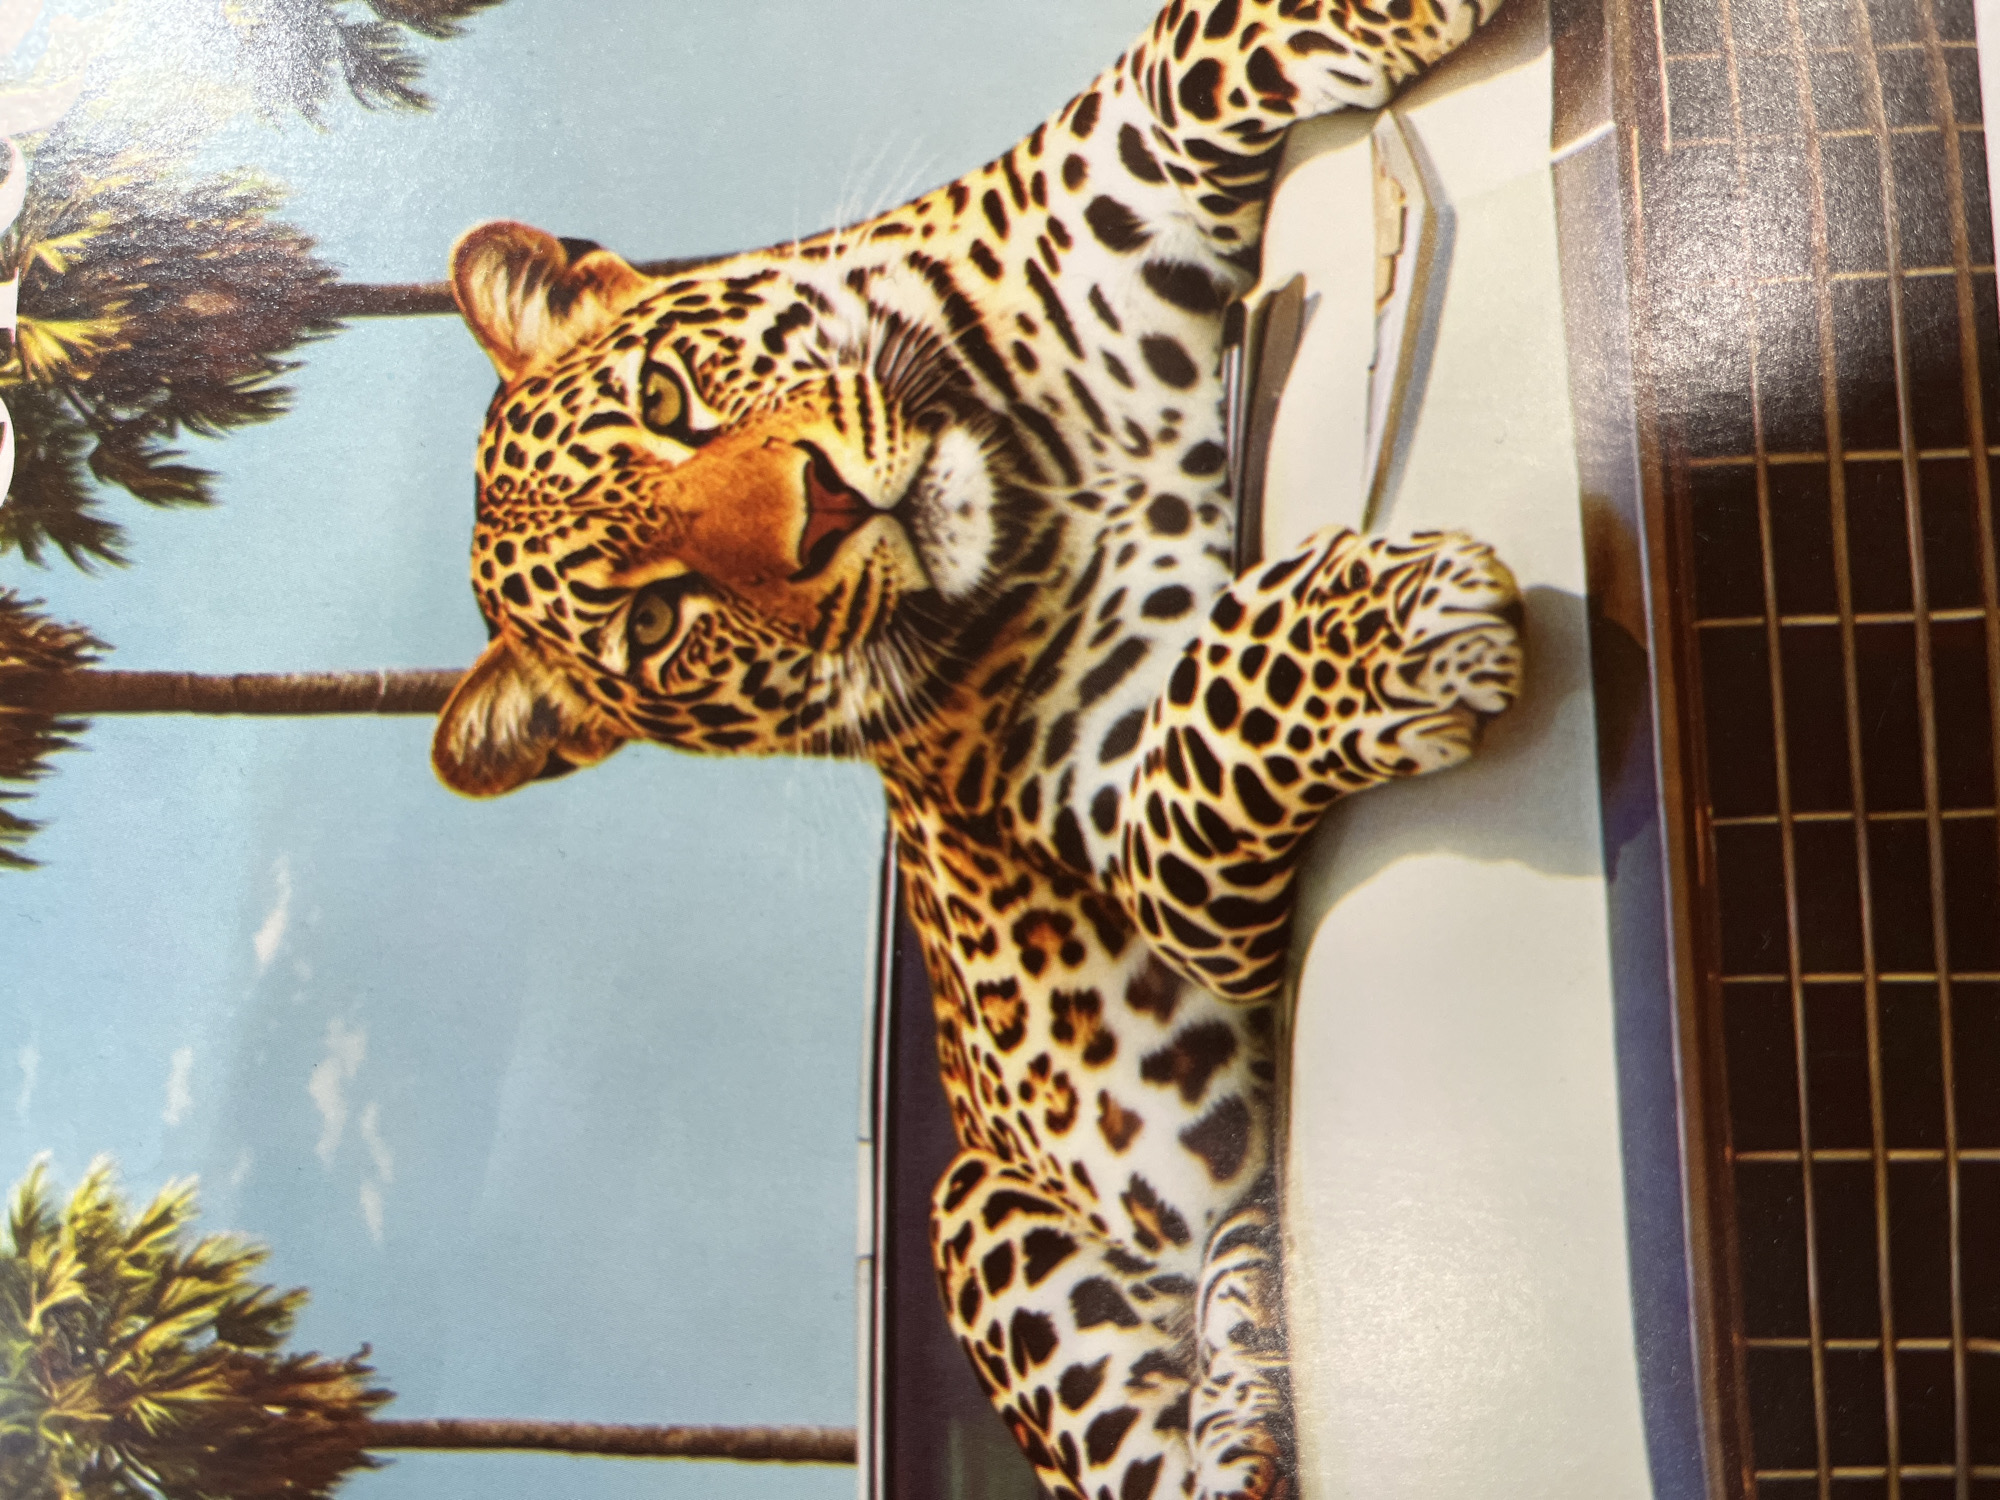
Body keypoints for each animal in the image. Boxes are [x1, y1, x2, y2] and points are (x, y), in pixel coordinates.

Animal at [427, 2, 1521, 1496]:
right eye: (653, 620)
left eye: (667, 394)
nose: (827, 508)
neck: (1034, 474)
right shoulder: (1159, 854)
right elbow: (1207, 731)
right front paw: (1397, 629)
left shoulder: (1103, 171)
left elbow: (1188, 53)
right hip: (972, 1208)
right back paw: (1246, 1405)